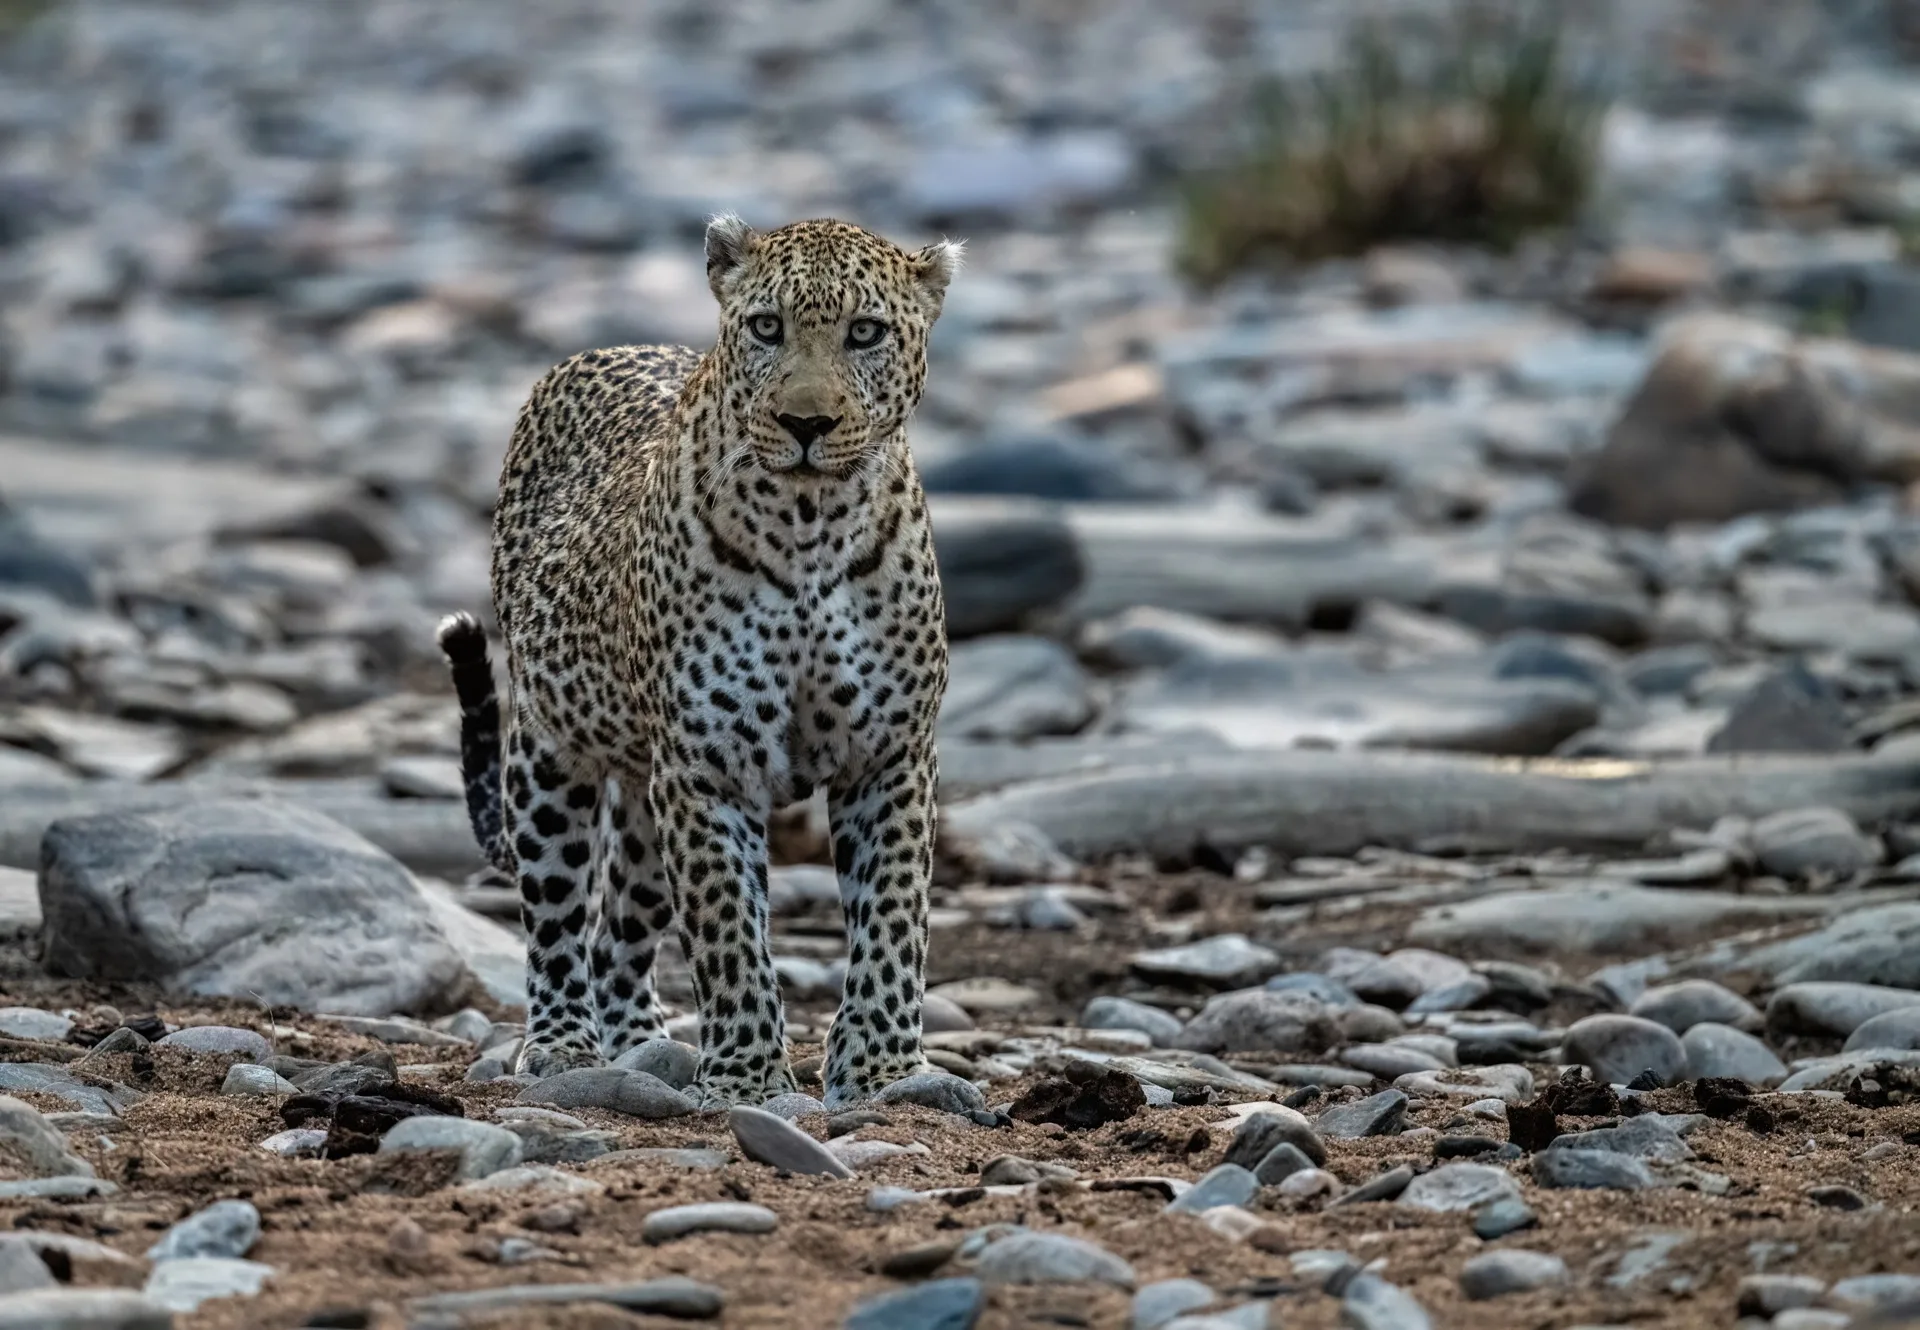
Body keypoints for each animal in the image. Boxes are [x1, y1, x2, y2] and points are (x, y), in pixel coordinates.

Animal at [435, 214, 959, 1110]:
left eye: (865, 333)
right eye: (767, 328)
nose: (806, 424)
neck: (813, 525)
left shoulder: (889, 756)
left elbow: (893, 917)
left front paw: (885, 1069)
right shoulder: (706, 768)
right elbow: (727, 931)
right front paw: (748, 1077)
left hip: (646, 817)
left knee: (616, 933)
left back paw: (641, 1047)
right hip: (551, 757)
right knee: (557, 920)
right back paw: (565, 1047)